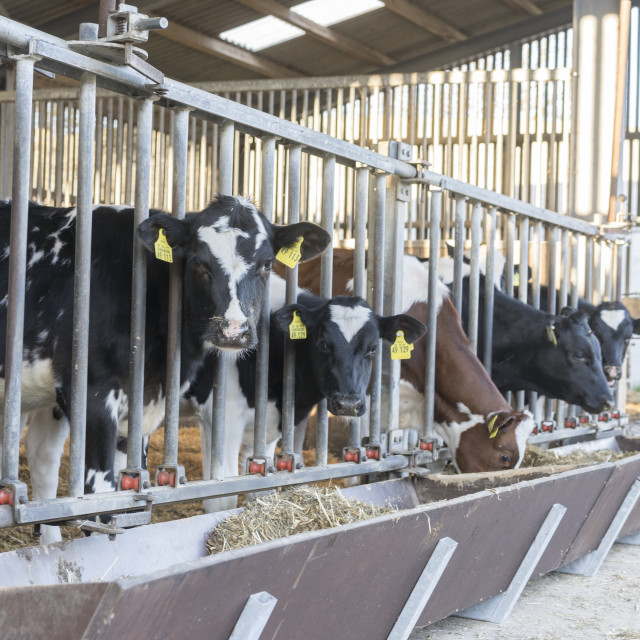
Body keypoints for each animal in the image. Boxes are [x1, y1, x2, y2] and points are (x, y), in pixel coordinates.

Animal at [184, 274, 424, 510]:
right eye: (324, 344)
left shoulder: (265, 427)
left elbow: (260, 489)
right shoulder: (222, 418)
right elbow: (221, 500)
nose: (349, 404)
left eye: (373, 349)